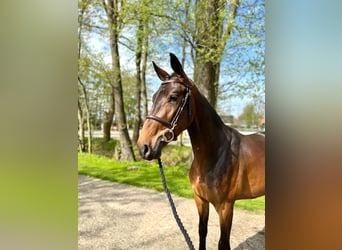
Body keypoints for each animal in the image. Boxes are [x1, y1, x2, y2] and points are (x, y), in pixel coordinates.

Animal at [136, 53, 264, 249]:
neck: (215, 155)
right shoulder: (200, 200)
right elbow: (202, 231)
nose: (144, 146)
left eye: (173, 97)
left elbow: (223, 243)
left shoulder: (225, 207)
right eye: (153, 97)